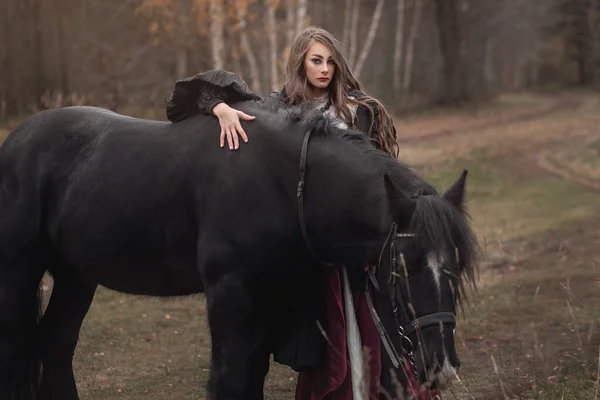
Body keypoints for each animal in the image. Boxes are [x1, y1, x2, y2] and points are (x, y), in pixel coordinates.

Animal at [0, 104, 478, 400]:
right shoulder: (229, 293)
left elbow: (252, 378)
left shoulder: (267, 296)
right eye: (403, 268)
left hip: (76, 276)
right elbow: (229, 380)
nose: (441, 367)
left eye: (455, 268)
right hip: (19, 274)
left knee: (56, 344)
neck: (285, 182)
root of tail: (16, 141)